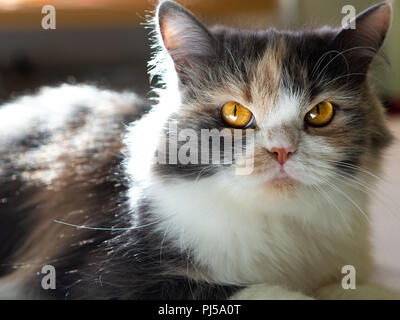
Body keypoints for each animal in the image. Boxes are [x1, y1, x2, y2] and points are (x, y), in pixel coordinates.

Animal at [0, 0, 396, 300]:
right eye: (235, 113)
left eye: (320, 112)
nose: (281, 151)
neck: (280, 229)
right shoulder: (103, 274)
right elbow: (266, 292)